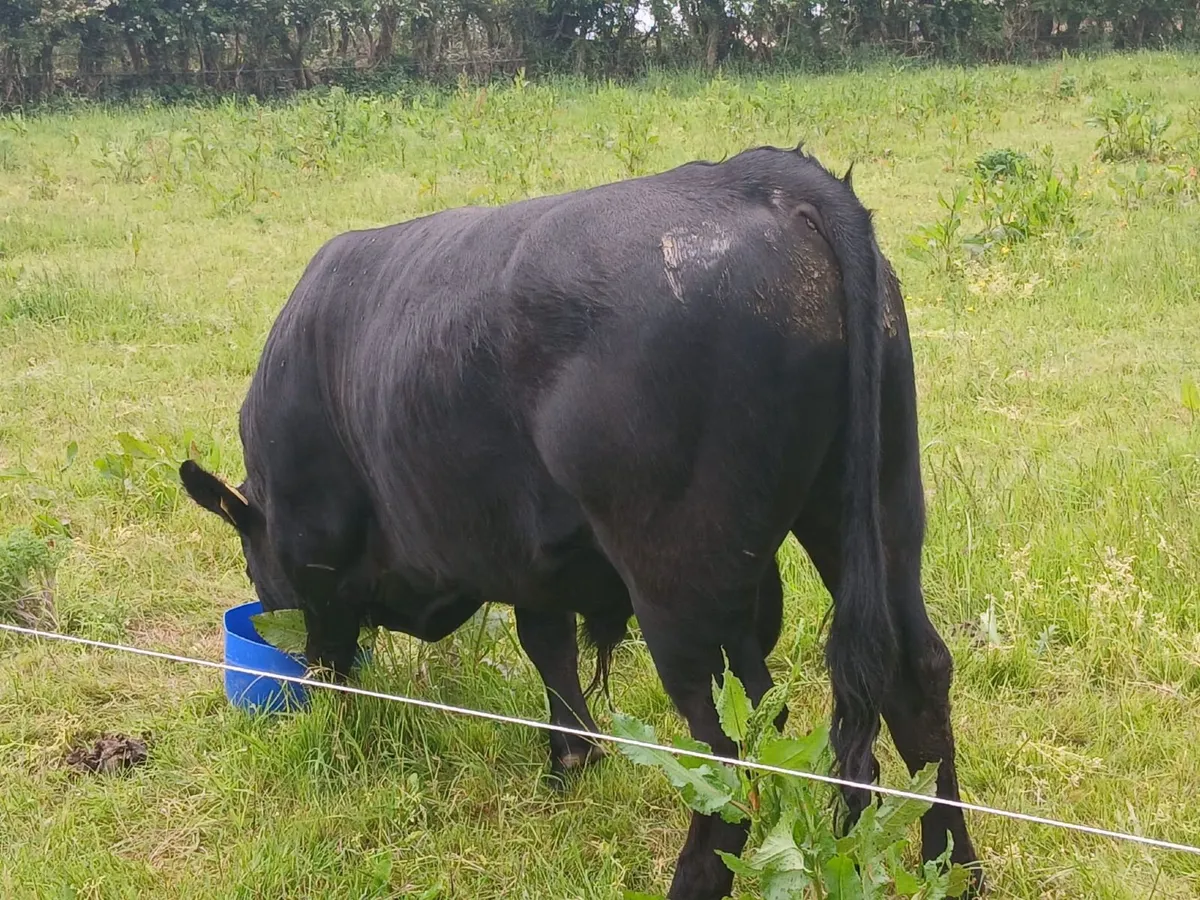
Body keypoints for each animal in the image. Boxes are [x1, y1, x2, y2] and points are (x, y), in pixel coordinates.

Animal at [179, 143, 983, 899]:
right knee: (917, 674)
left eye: (254, 561)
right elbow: (548, 643)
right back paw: (956, 868)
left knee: (737, 738)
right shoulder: (532, 553)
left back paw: (690, 882)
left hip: (682, 583)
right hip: (876, 507)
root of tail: (771, 181)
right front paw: (572, 754)